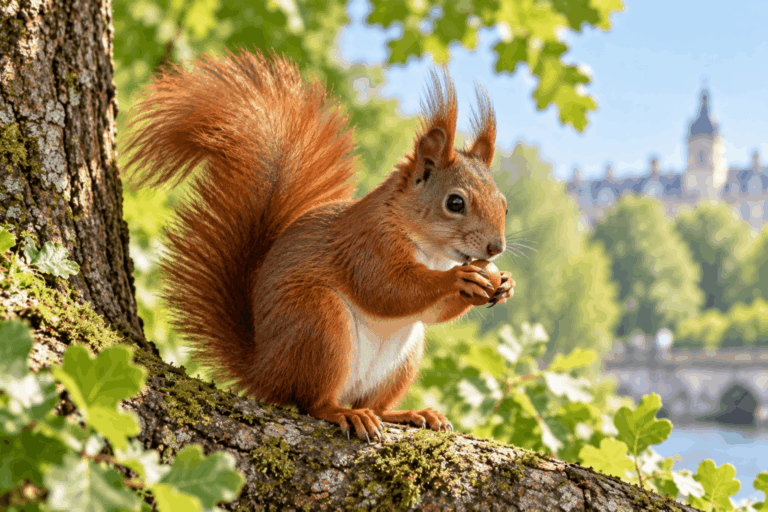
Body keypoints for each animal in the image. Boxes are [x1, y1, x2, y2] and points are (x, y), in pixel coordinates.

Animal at [124, 49, 514, 441]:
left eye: (504, 204)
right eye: (455, 203)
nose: (495, 249)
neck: (431, 251)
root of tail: (264, 370)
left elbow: (433, 311)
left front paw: (504, 284)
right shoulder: (365, 244)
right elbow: (386, 290)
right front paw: (458, 279)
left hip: (403, 356)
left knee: (375, 404)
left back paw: (408, 413)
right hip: (317, 322)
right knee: (313, 402)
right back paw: (345, 414)